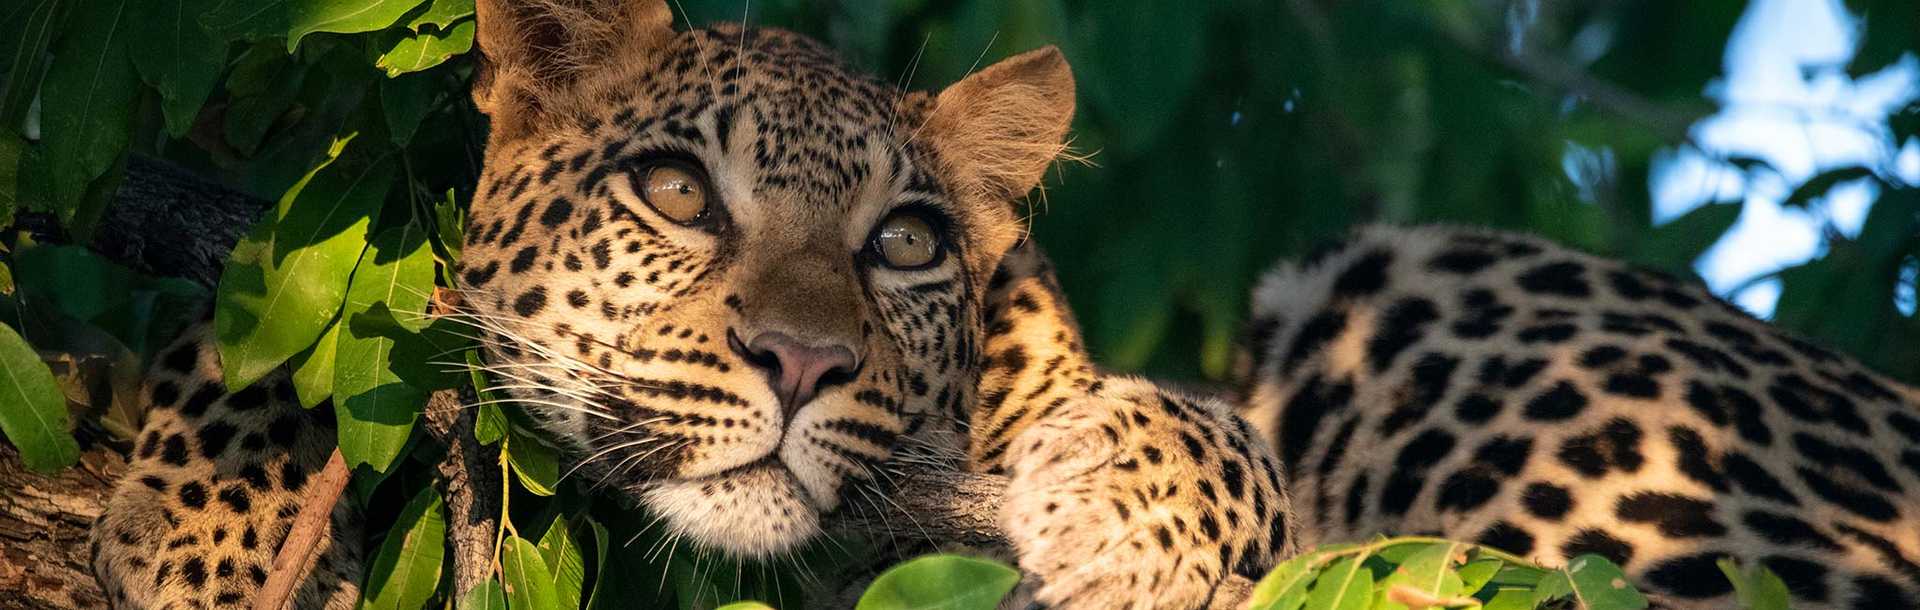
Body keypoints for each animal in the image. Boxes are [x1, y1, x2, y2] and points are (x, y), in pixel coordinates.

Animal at [86, 1, 1290, 610]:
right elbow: (256, 337)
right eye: (677, 192)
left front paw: (1134, 512)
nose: (800, 363)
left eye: (905, 244)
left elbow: (1245, 455)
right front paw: (219, 533)